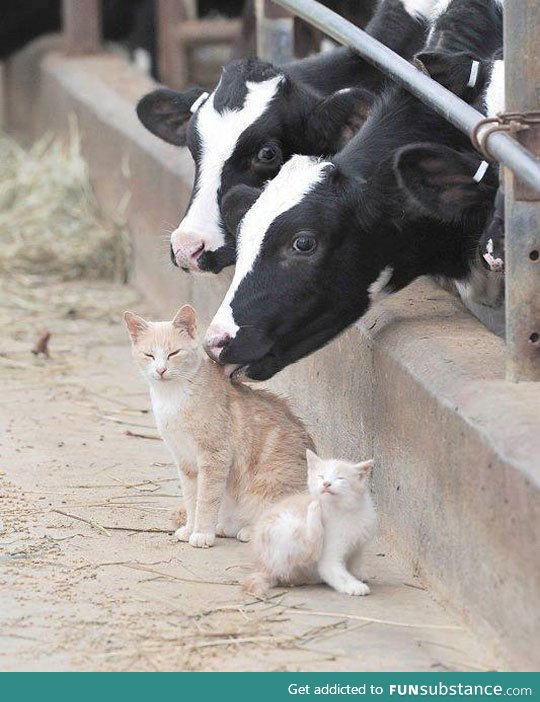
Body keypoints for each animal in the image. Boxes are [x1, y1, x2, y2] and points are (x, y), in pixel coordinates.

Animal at [124, 306, 314, 552]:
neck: (172, 396)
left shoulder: (214, 456)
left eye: (174, 353)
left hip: (268, 485)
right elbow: (191, 498)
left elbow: (206, 499)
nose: (161, 370)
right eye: (149, 355)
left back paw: (248, 531)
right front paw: (191, 528)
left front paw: (202, 533)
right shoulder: (185, 461)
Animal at [245, 452, 376, 600]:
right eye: (321, 476)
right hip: (284, 527)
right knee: (309, 550)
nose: (326, 483)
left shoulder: (358, 545)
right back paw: (314, 509)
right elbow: (336, 572)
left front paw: (358, 574)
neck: (347, 510)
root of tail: (262, 566)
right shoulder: (329, 556)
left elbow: (355, 561)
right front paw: (355, 586)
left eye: (340, 478)